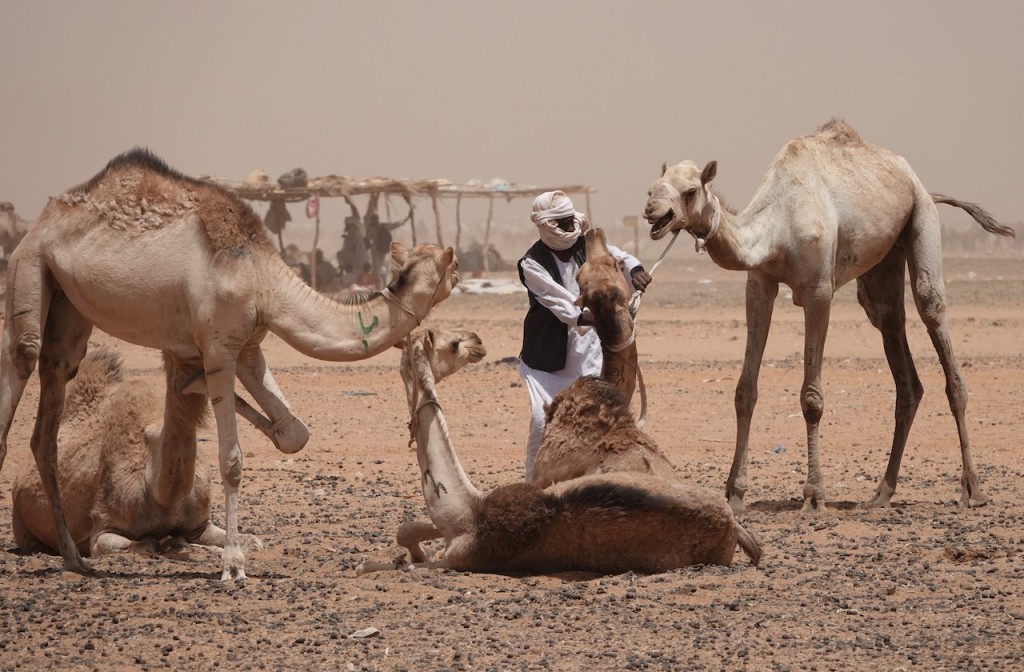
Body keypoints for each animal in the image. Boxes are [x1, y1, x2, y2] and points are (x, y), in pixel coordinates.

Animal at [356, 327, 757, 573]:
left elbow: (399, 557)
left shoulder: (456, 559)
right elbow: (407, 529)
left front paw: (390, 560)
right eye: (449, 340)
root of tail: (732, 526)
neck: (470, 516)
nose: (477, 340)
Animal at [643, 119, 1011, 514]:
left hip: (922, 218)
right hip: (884, 260)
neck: (779, 225)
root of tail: (918, 183)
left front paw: (814, 495)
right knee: (895, 340)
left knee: (933, 312)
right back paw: (882, 492)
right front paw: (734, 493)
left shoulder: (818, 291)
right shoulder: (759, 284)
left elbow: (812, 398)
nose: (652, 210)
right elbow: (745, 390)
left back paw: (973, 489)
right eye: (653, 186)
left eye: (690, 190)